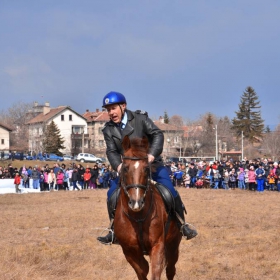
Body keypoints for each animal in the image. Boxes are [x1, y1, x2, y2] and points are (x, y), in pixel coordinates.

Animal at [114, 135, 183, 278]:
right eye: (125, 168)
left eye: (146, 168)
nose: (136, 202)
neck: (138, 217)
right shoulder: (129, 251)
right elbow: (142, 270)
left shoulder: (157, 246)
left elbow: (155, 271)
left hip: (173, 245)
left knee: (170, 269)